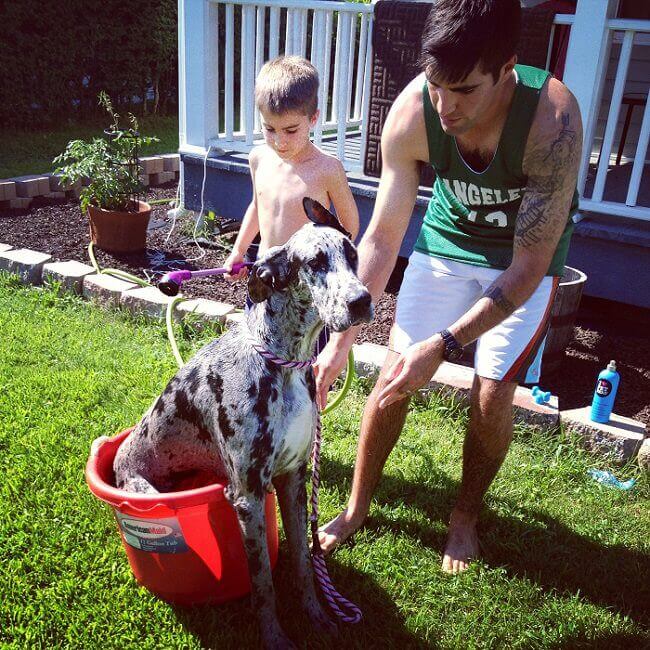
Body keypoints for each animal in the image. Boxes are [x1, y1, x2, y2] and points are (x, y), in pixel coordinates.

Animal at [114, 199, 372, 648]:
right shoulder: (249, 496)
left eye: (351, 254)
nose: (361, 301)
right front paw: (275, 638)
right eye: (315, 263)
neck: (282, 364)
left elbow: (304, 561)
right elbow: (263, 582)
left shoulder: (293, 479)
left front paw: (316, 616)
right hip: (144, 489)